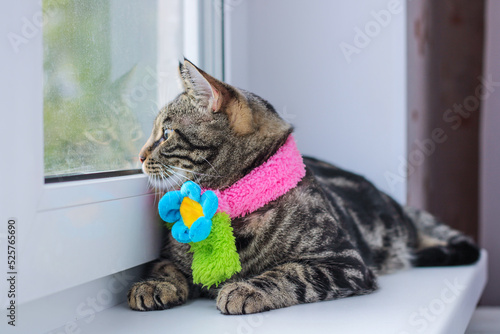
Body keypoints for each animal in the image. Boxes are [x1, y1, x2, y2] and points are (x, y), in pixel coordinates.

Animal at [127, 59, 478, 314]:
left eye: (166, 134)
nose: (139, 156)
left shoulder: (345, 262)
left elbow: (292, 273)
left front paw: (247, 288)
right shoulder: (168, 255)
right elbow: (164, 265)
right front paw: (153, 284)